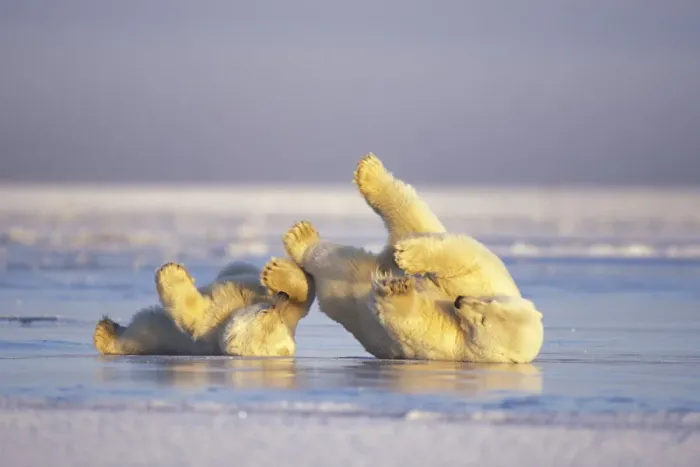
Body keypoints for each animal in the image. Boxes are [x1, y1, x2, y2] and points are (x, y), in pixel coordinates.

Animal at [93, 256, 314, 357]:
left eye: (265, 312)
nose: (281, 297)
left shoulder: (211, 324)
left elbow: (193, 312)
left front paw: (170, 272)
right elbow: (305, 298)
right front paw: (284, 275)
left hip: (156, 335)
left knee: (140, 331)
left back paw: (104, 332)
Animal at [282, 152, 543, 363]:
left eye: (483, 322)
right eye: (489, 302)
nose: (460, 300)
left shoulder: (453, 345)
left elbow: (414, 323)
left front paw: (395, 288)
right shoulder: (490, 281)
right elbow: (466, 255)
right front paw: (408, 258)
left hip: (342, 291)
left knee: (339, 265)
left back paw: (299, 244)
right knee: (414, 219)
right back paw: (369, 173)